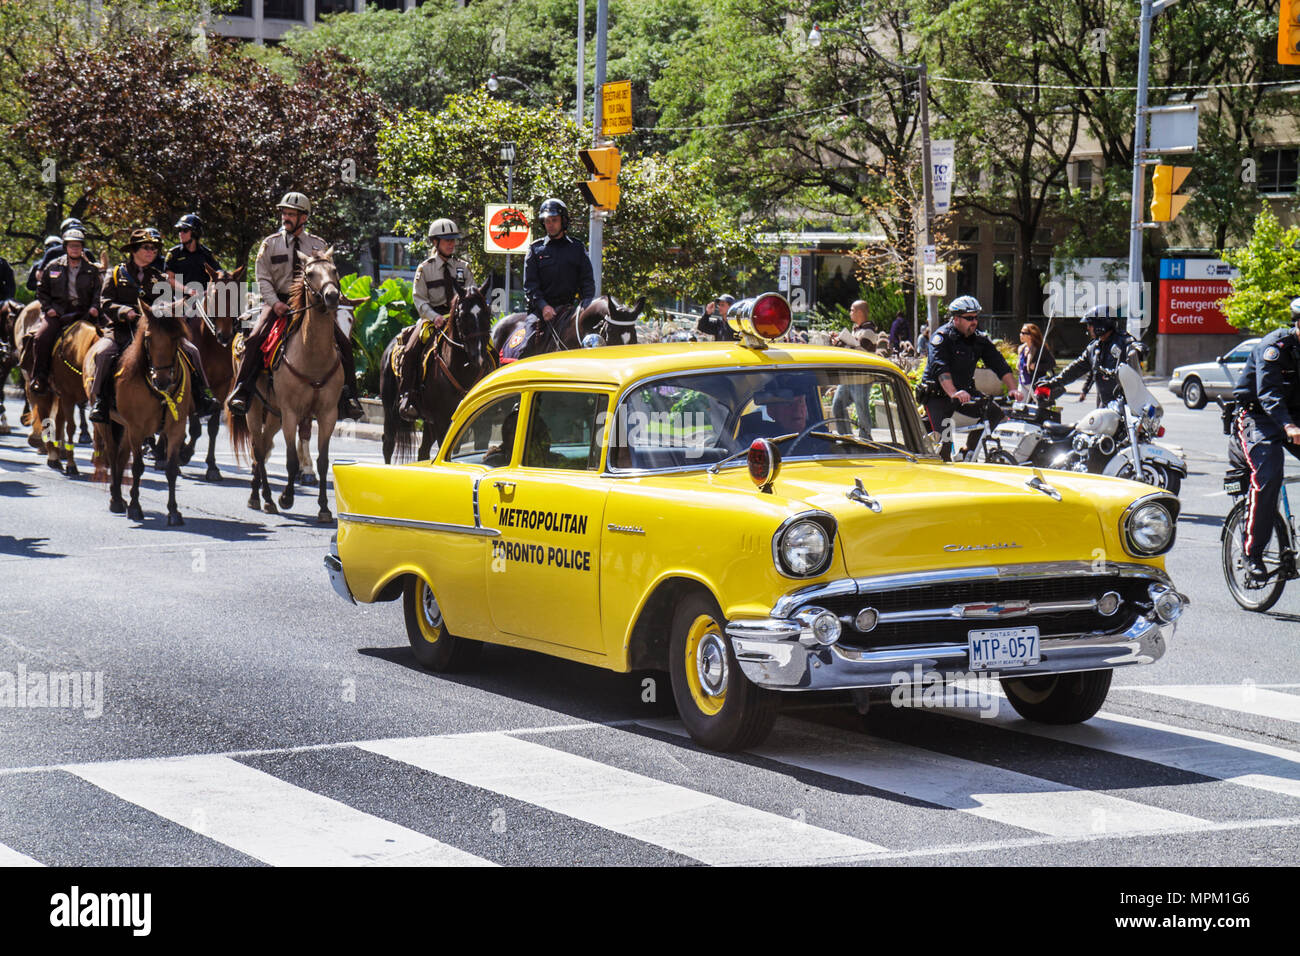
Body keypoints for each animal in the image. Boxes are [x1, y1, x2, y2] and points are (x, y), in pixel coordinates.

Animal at [82, 300, 195, 522]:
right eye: (148, 338)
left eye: (175, 338)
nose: (162, 381)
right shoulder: (137, 429)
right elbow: (137, 467)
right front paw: (135, 507)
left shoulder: (176, 429)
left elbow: (171, 469)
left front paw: (173, 511)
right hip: (108, 424)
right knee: (112, 455)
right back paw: (117, 500)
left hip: (125, 427)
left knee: (120, 457)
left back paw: (119, 497)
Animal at [379, 282, 499, 465]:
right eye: (463, 316)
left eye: (487, 313)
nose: (478, 356)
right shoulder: (442, 420)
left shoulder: (481, 422)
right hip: (390, 410)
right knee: (388, 444)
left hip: (428, 421)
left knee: (422, 451)